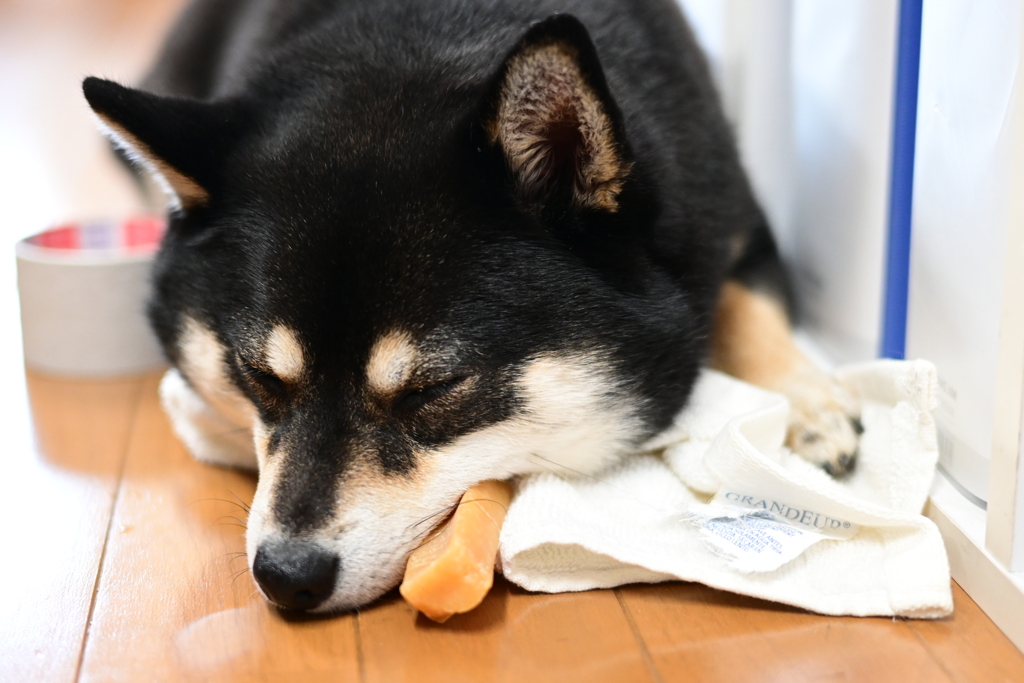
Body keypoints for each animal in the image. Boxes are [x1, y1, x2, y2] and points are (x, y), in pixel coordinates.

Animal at [83, 0, 860, 614]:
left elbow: (747, 308)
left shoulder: (732, 216)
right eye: (259, 377)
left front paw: (812, 406)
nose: (285, 576)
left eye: (432, 389)